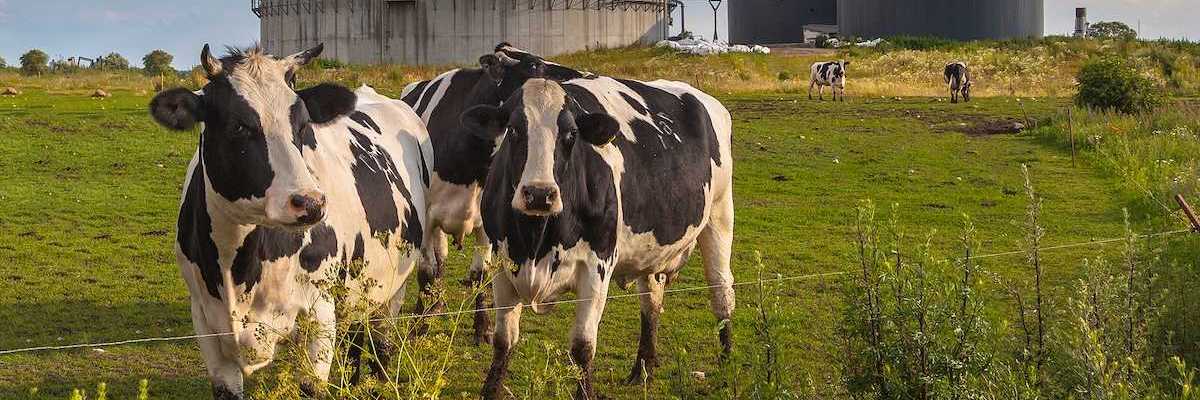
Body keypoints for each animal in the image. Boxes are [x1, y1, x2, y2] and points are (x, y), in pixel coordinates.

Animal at [148, 44, 432, 399]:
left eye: (303, 125)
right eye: (239, 126)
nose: (310, 203)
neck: (237, 268)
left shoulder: (319, 317)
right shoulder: (206, 325)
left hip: (393, 285)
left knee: (381, 343)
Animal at [399, 43, 587, 345]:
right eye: (534, 65)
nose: (579, 76)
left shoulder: (487, 223)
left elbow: (480, 274)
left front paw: (483, 327)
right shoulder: (426, 217)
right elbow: (427, 271)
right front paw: (420, 325)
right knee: (436, 263)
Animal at [462, 75, 735, 399]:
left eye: (571, 134)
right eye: (514, 129)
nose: (539, 194)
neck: (536, 240)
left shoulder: (597, 267)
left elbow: (582, 347)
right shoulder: (504, 265)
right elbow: (503, 341)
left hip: (720, 216)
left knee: (722, 292)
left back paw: (727, 364)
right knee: (651, 302)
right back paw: (642, 370)